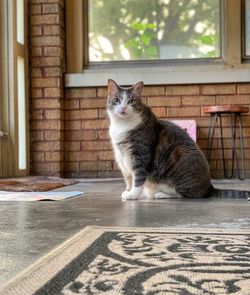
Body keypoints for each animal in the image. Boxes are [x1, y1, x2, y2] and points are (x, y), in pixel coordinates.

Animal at [107, 79, 250, 201]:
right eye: (116, 99)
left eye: (131, 101)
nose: (123, 108)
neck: (122, 125)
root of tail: (209, 187)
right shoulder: (121, 157)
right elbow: (128, 178)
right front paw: (128, 190)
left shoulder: (140, 155)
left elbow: (138, 177)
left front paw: (133, 195)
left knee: (187, 194)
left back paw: (161, 194)